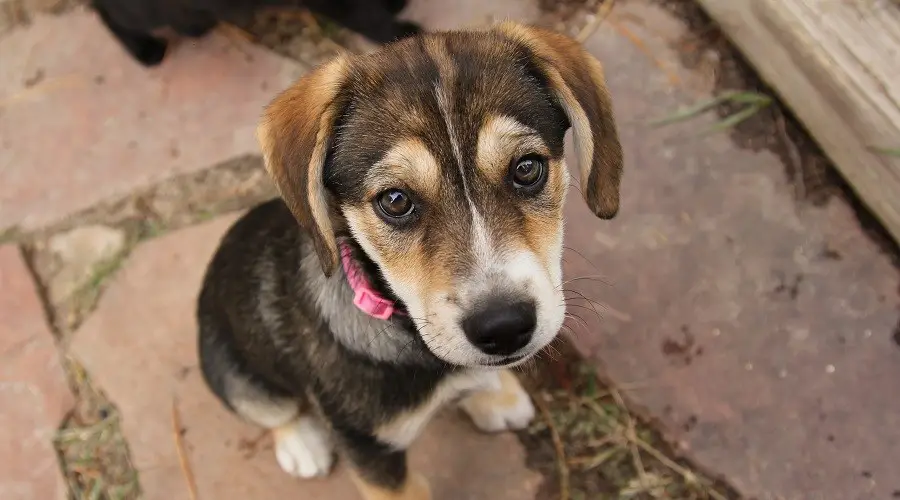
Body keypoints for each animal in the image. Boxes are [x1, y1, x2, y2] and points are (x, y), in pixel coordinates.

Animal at [197, 21, 624, 498]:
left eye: (527, 168)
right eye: (395, 200)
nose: (504, 328)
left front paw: (494, 392)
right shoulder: (370, 450)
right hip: (237, 375)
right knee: (274, 410)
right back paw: (302, 443)